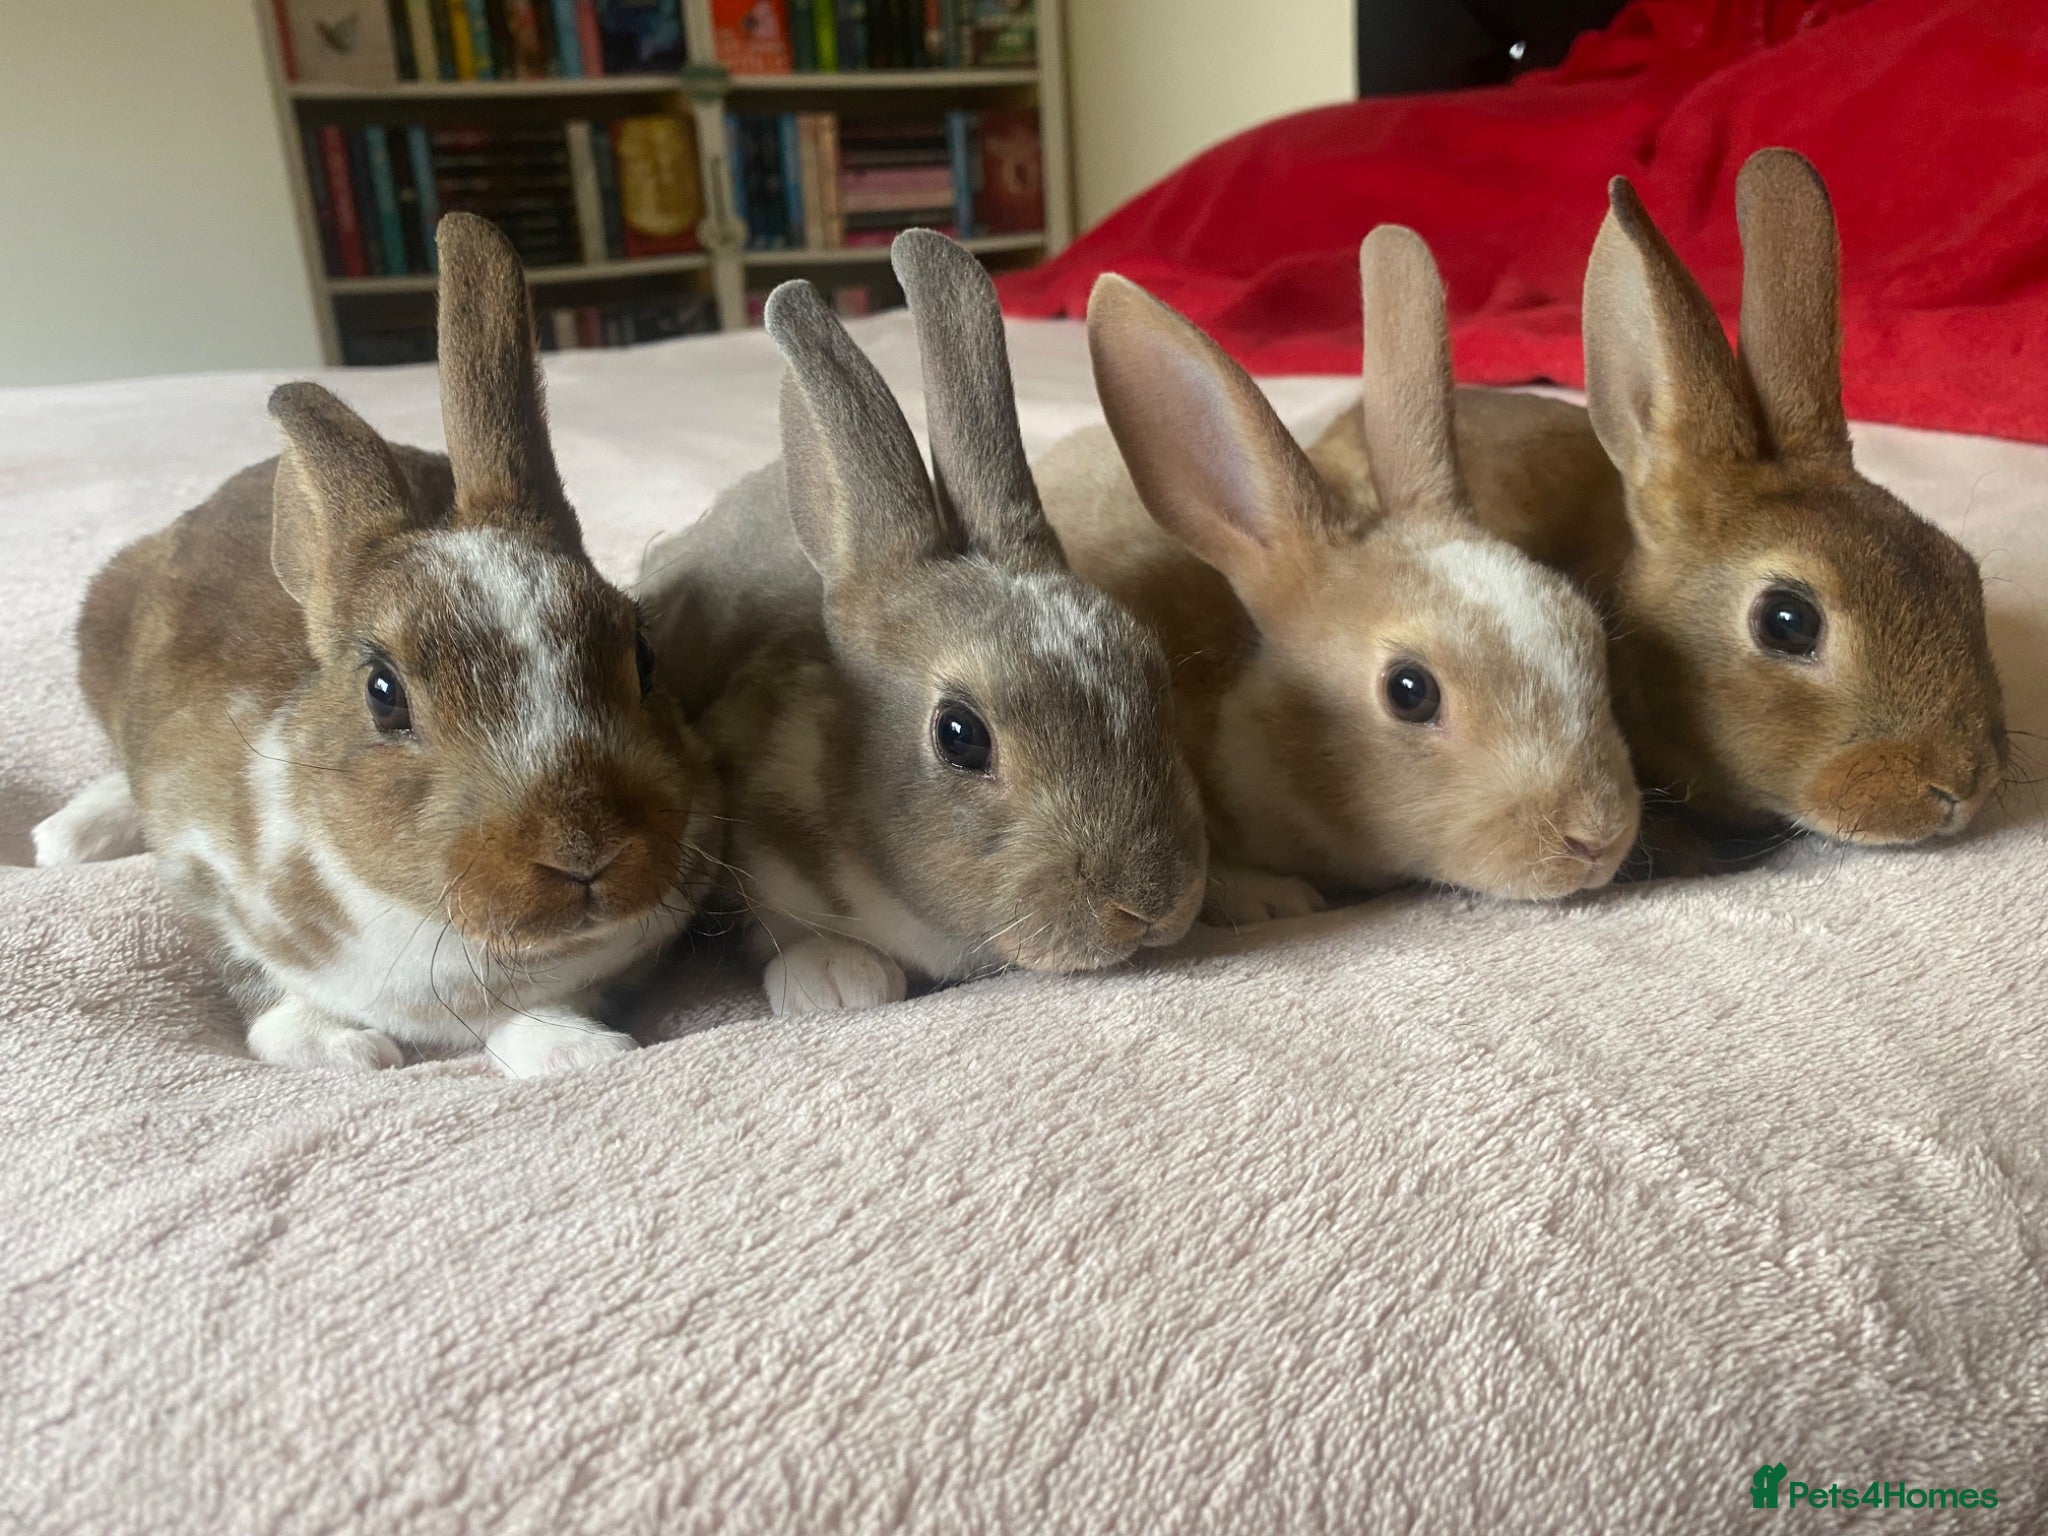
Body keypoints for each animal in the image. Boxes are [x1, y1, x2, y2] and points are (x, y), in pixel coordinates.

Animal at [31, 213, 721, 1076]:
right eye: (384, 695)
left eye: (641, 654)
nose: (581, 851)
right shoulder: (197, 871)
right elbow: (259, 989)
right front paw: (349, 1049)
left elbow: (537, 1014)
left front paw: (578, 1051)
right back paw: (65, 839)